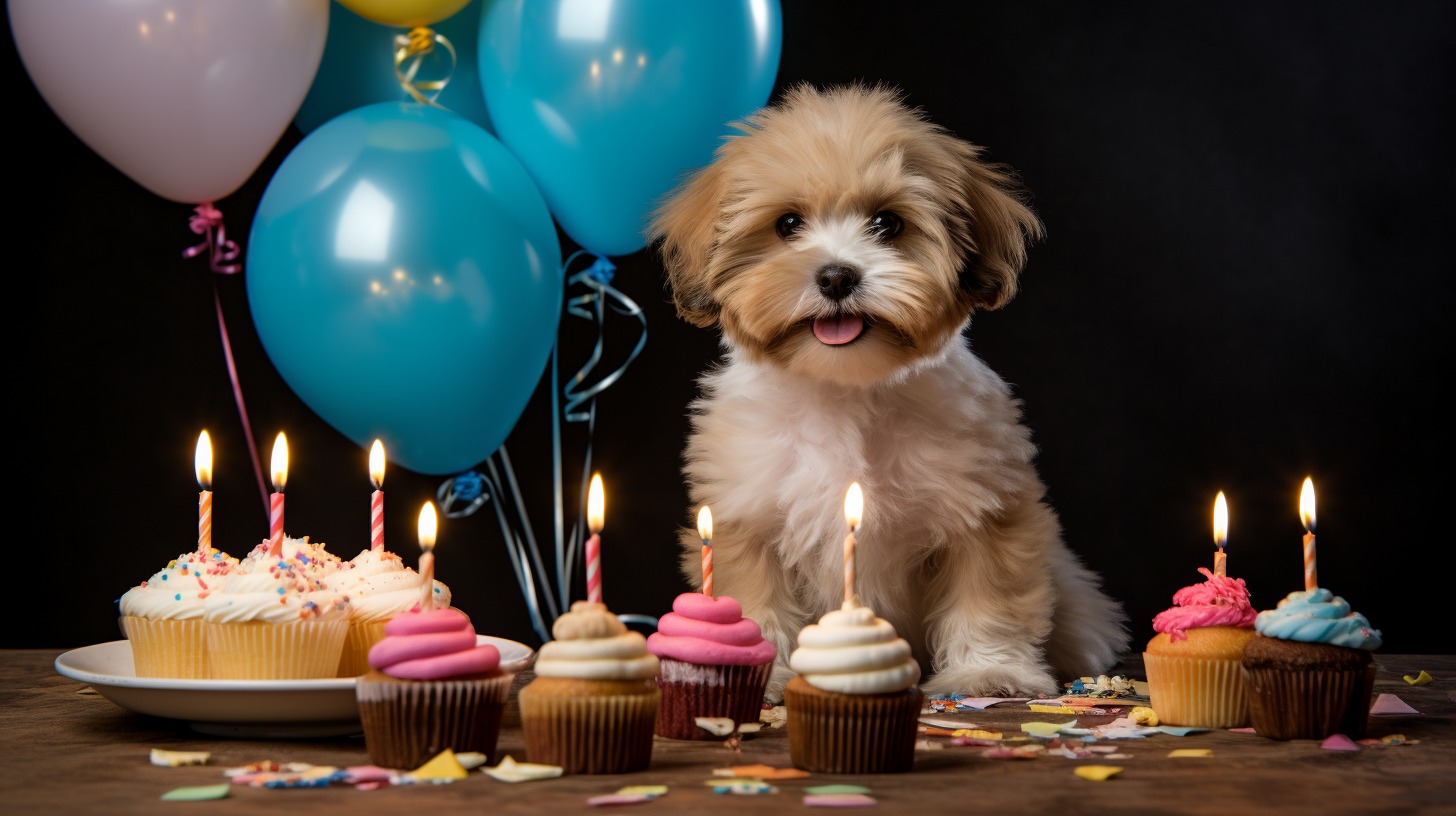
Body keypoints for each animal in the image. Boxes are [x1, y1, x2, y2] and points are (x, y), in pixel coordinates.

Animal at [649, 81, 1135, 702]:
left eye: (887, 224)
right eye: (787, 225)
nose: (836, 276)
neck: (847, 388)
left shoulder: (983, 507)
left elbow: (987, 592)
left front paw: (988, 670)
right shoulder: (746, 513)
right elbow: (756, 597)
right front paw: (760, 672)